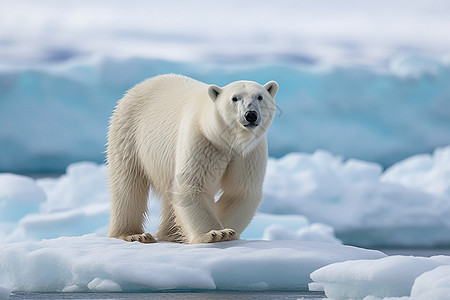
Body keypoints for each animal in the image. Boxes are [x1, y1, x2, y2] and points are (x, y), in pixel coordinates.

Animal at [108, 74, 278, 244]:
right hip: (128, 134)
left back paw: (172, 234)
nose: (251, 115)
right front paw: (216, 233)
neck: (227, 141)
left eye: (260, 97)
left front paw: (229, 232)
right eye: (235, 98)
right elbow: (192, 186)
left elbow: (240, 191)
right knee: (128, 185)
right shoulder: (202, 140)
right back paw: (134, 234)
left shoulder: (248, 153)